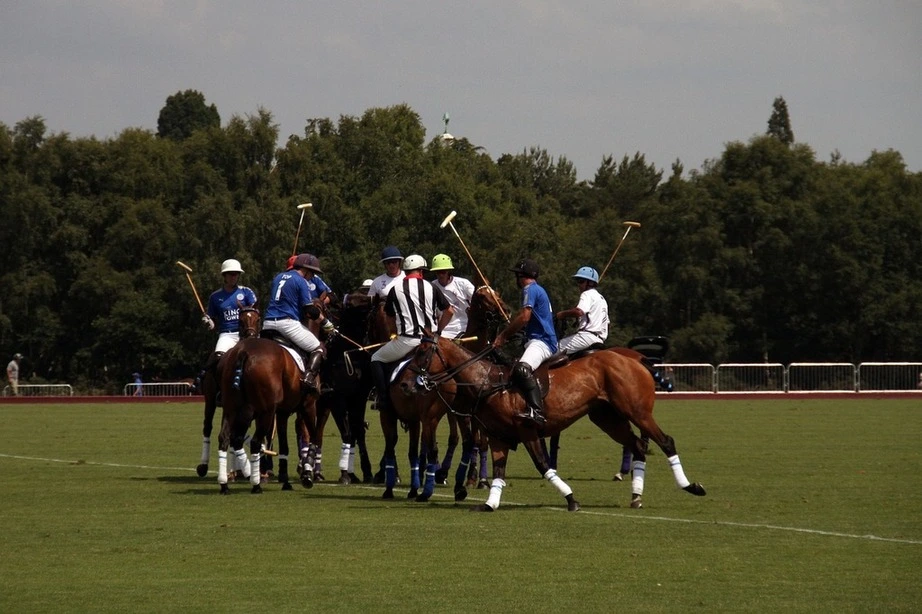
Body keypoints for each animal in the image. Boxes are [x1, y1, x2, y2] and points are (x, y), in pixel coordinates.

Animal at [194, 308, 258, 482]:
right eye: (241, 321)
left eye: (258, 319)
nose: (251, 335)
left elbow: (236, 437)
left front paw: (241, 471)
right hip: (210, 400)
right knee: (207, 427)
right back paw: (203, 466)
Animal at [216, 328, 320, 496]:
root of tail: (242, 351)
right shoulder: (309, 405)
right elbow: (314, 437)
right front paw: (307, 475)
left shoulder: (283, 412)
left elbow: (284, 446)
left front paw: (285, 481)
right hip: (265, 411)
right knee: (254, 441)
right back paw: (255, 484)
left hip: (232, 409)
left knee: (226, 438)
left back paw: (225, 484)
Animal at [398, 334, 708, 512]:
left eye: (422, 353)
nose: (404, 384)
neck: (488, 384)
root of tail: (638, 359)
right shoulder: (498, 436)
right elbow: (498, 472)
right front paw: (490, 503)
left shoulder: (527, 431)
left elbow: (543, 465)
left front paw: (571, 500)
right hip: (607, 418)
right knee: (639, 446)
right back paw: (636, 496)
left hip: (637, 411)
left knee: (664, 441)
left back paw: (691, 486)